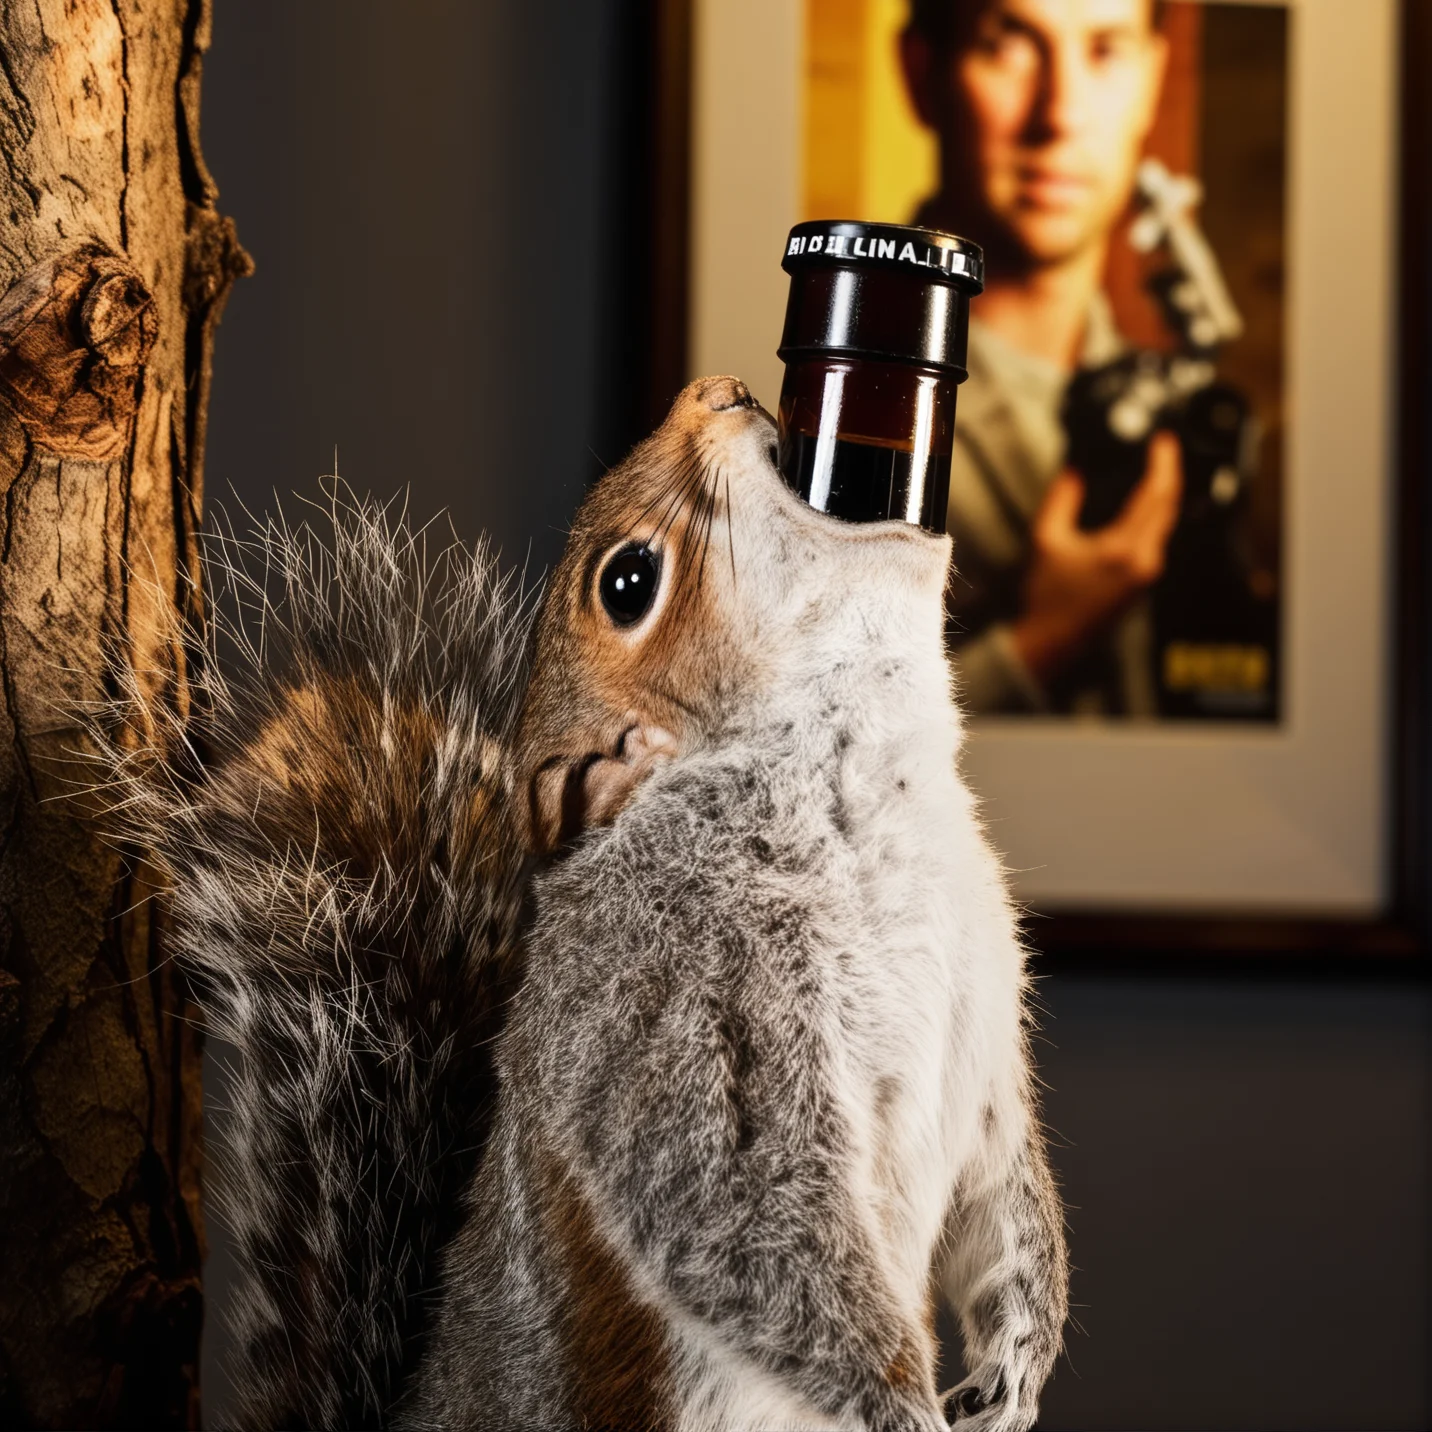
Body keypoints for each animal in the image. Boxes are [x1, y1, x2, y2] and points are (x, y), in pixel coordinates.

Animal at [98, 376, 1068, 1431]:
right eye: (629, 582)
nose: (717, 390)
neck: (874, 776)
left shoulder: (985, 1038)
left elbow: (1008, 1197)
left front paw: (1019, 1362)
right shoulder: (662, 994)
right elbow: (742, 1216)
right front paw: (899, 1403)